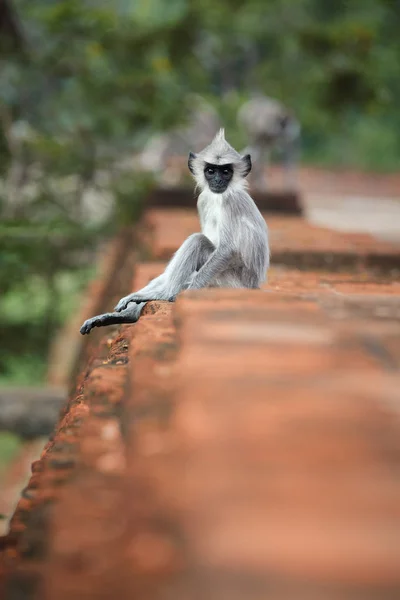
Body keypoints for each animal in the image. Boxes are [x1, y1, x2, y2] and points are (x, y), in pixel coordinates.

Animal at [79, 129, 270, 336]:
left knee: (197, 242)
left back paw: (164, 294)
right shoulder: (203, 200)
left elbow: (228, 250)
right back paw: (129, 313)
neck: (219, 197)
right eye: (211, 171)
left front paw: (172, 294)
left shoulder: (231, 202)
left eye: (226, 171)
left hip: (229, 284)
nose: (218, 180)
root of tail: (254, 286)